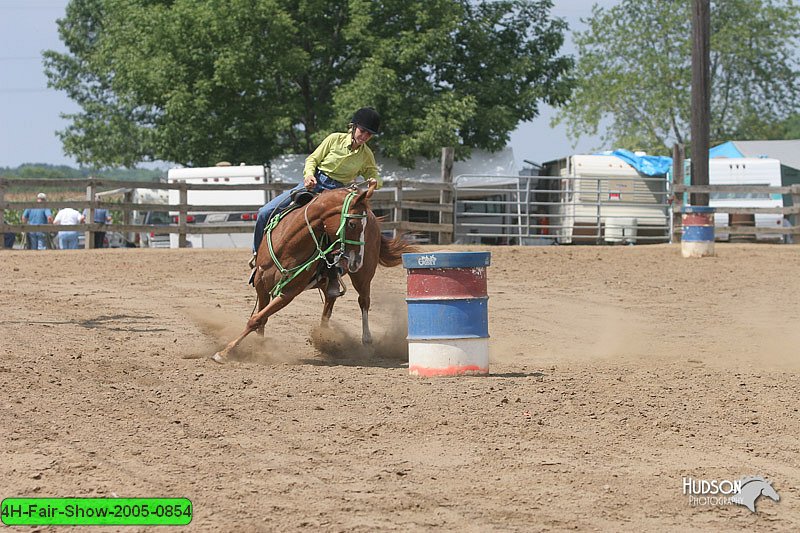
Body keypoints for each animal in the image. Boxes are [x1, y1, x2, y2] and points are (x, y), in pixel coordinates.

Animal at [212, 182, 416, 362]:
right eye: (352, 224)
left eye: (361, 227)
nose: (357, 260)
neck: (288, 244)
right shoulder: (261, 285)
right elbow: (261, 319)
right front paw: (258, 348)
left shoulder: (289, 292)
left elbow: (257, 319)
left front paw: (224, 353)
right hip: (328, 280)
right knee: (330, 301)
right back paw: (324, 337)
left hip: (363, 276)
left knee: (363, 301)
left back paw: (366, 341)